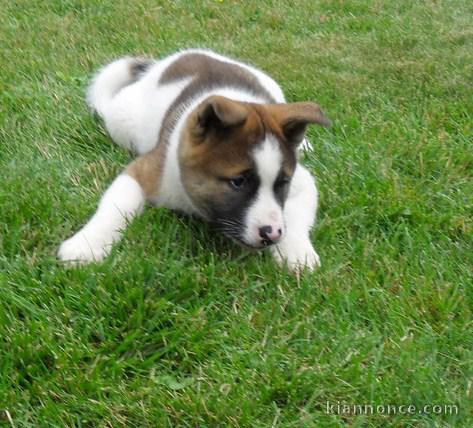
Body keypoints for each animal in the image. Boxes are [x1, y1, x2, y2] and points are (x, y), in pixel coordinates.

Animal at [59, 49, 330, 270]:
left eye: (282, 183)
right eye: (238, 182)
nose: (272, 235)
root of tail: (160, 65)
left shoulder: (302, 182)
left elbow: (296, 218)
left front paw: (297, 254)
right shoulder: (144, 171)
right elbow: (115, 208)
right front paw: (86, 245)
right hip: (120, 122)